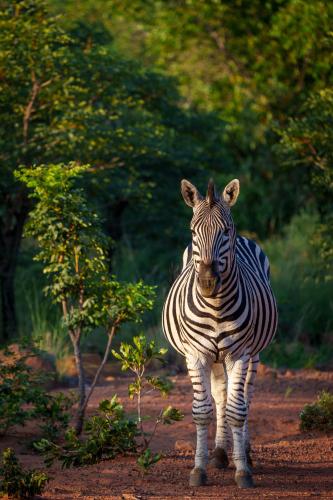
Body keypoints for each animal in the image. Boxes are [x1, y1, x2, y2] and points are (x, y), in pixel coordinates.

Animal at [162, 179, 276, 488]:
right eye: (193, 232)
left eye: (225, 231)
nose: (207, 282)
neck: (215, 306)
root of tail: (247, 238)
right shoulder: (196, 354)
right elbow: (203, 411)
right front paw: (199, 470)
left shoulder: (240, 354)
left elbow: (238, 411)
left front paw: (243, 471)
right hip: (213, 356)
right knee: (221, 394)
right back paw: (221, 453)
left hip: (253, 354)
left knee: (244, 395)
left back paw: (242, 453)